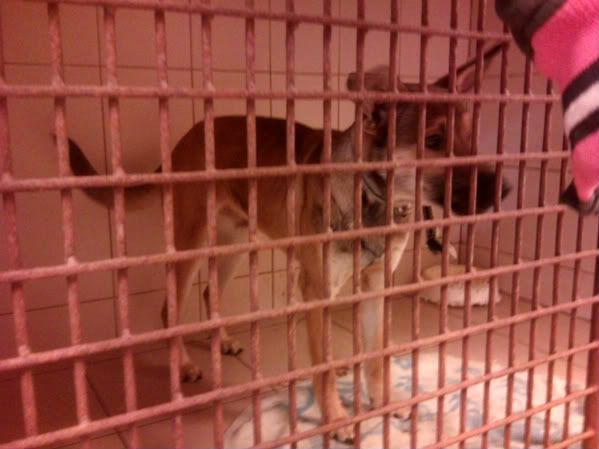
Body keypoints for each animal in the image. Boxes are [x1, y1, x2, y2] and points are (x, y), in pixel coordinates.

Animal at [67, 42, 510, 442]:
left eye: (471, 136)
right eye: (433, 140)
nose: (504, 189)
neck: (374, 199)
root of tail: (184, 138)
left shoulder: (375, 286)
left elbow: (377, 357)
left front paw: (385, 401)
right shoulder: (317, 291)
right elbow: (324, 367)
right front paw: (336, 419)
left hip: (231, 245)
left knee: (211, 292)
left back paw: (224, 343)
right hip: (190, 245)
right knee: (169, 310)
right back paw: (184, 366)